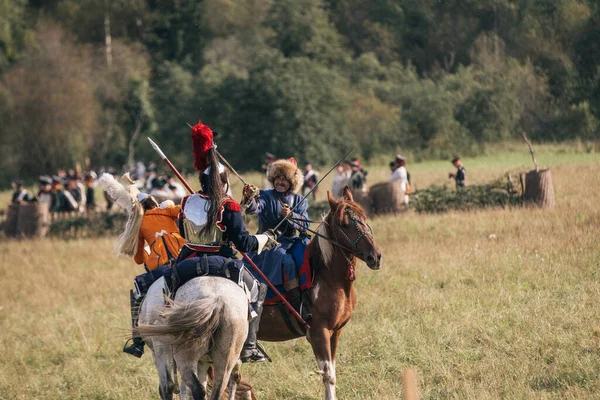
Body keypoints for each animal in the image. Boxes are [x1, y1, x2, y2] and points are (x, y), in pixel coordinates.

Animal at [256, 188, 380, 400]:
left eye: (364, 218)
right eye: (344, 224)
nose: (375, 256)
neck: (327, 276)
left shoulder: (335, 332)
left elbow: (332, 371)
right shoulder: (318, 333)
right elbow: (328, 375)